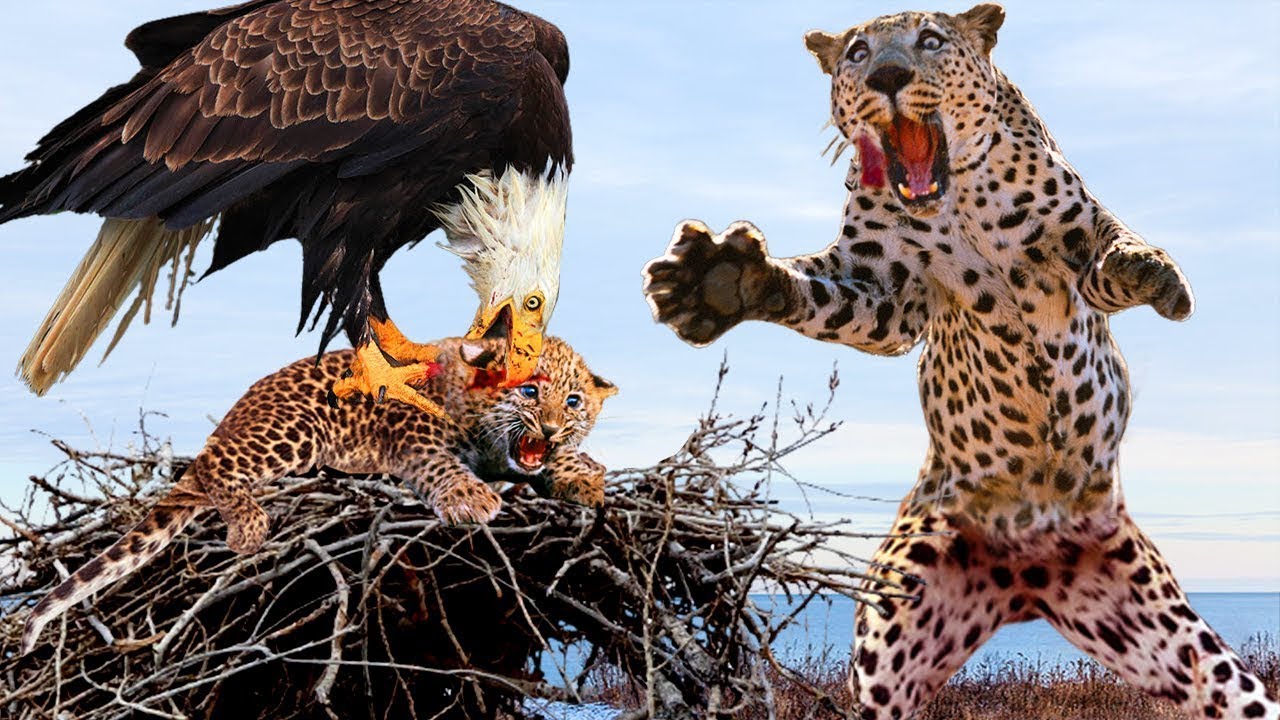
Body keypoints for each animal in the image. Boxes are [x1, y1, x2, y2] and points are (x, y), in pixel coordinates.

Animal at [19, 335, 616, 656]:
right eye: (529, 390)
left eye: (574, 402)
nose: (552, 426)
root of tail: (237, 411)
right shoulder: (414, 434)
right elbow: (439, 464)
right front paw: (470, 498)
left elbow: (548, 467)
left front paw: (584, 474)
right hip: (292, 430)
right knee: (210, 471)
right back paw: (248, 526)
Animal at [642, 5, 1277, 719]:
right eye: (857, 52)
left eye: (930, 40)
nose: (889, 75)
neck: (957, 203)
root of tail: (1031, 579)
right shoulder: (882, 287)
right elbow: (820, 294)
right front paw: (720, 279)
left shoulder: (1075, 232)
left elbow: (1111, 251)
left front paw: (1151, 273)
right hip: (894, 640)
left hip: (1187, 648)